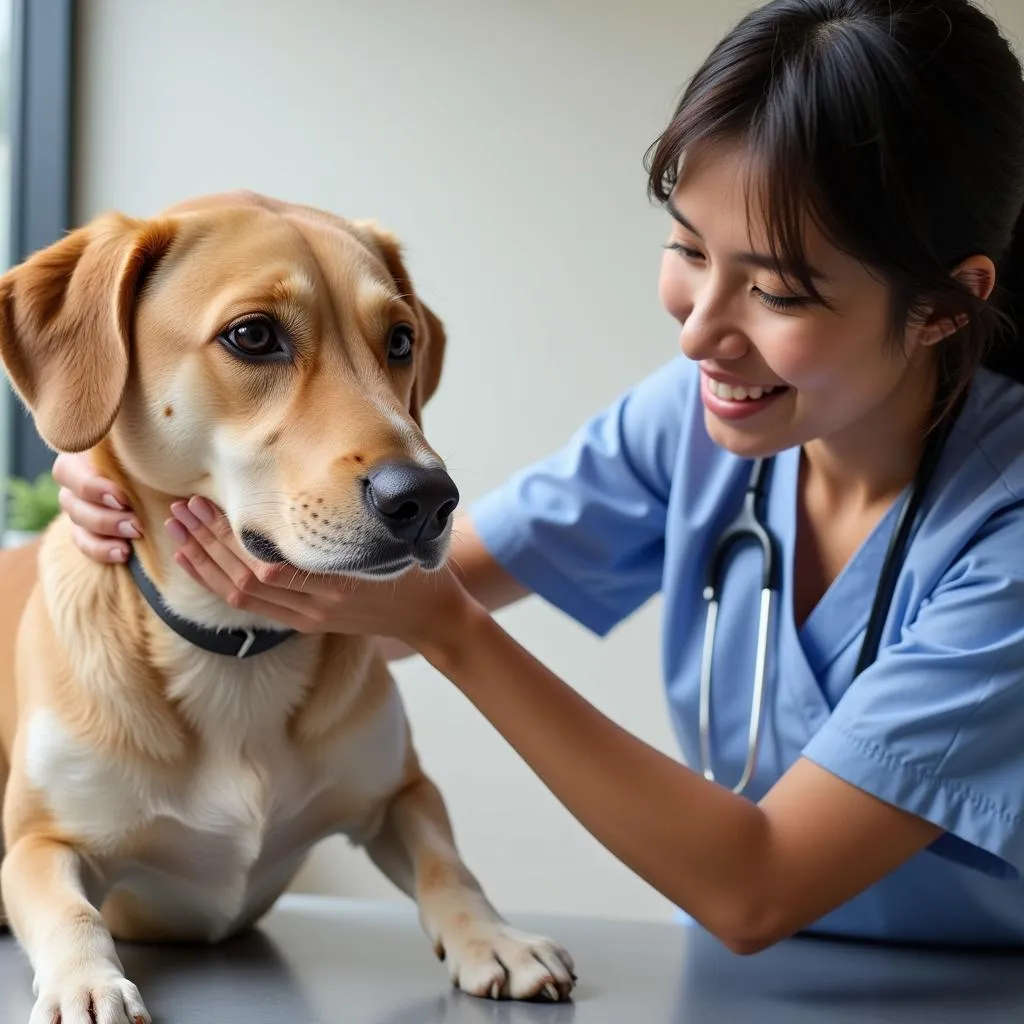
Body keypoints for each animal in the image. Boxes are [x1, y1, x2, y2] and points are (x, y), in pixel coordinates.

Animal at [0, 192, 577, 1024]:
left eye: (400, 340)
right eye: (253, 335)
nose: (429, 499)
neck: (234, 646)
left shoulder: (401, 791)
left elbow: (448, 865)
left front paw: (496, 938)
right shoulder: (41, 843)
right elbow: (68, 909)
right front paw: (87, 982)